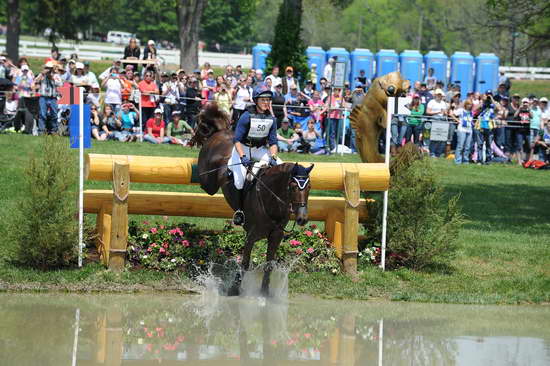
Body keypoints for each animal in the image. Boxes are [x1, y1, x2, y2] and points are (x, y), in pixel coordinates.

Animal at [192, 103, 314, 298]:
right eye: (293, 187)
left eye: (309, 187)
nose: (302, 218)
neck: (271, 199)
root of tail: (222, 132)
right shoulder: (251, 234)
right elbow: (245, 262)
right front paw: (235, 289)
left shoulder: (276, 236)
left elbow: (269, 264)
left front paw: (264, 292)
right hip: (208, 180)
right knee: (206, 182)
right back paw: (197, 136)